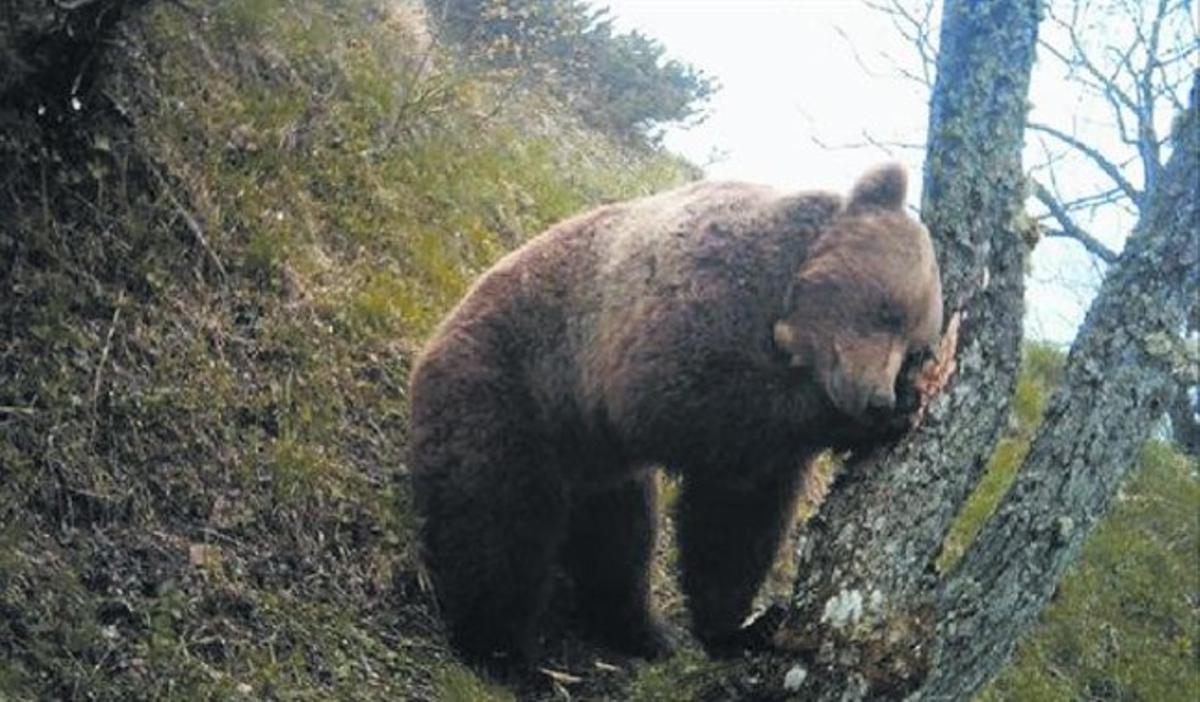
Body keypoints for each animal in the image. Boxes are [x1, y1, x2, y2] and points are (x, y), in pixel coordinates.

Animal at [408, 162, 940, 667]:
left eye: (916, 345)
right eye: (887, 311)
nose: (877, 397)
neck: (786, 314)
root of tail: (434, 338)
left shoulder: (757, 458)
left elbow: (736, 519)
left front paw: (740, 627)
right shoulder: (699, 299)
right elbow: (688, 403)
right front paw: (871, 419)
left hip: (600, 464)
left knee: (620, 541)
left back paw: (641, 630)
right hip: (507, 395)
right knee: (500, 526)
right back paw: (504, 653)